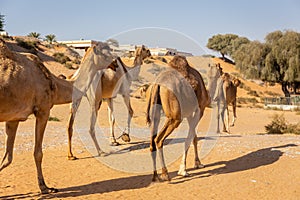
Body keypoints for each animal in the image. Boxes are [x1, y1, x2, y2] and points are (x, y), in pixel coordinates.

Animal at [0, 39, 113, 194]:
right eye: (106, 51)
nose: (115, 62)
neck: (53, 83)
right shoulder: (43, 110)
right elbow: (38, 153)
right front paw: (45, 187)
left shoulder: (14, 117)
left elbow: (7, 157)